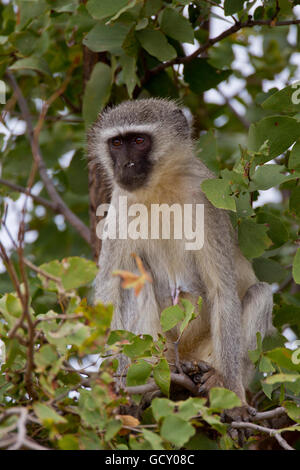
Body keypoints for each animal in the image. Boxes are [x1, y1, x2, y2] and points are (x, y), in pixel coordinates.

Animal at [88, 98, 274, 408]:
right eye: (116, 143)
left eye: (139, 141)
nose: (125, 165)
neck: (159, 189)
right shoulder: (119, 206)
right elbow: (108, 297)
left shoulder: (207, 199)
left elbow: (222, 289)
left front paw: (231, 393)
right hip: (157, 347)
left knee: (260, 293)